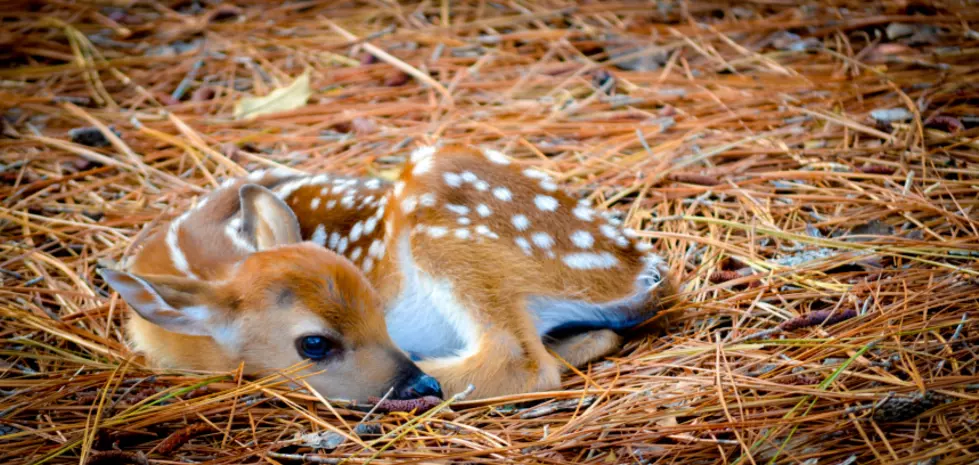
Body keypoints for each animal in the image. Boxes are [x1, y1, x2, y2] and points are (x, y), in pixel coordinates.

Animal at [101, 144, 672, 398]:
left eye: (378, 305)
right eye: (314, 344)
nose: (409, 381)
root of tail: (640, 268)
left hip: (442, 217)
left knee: (523, 362)